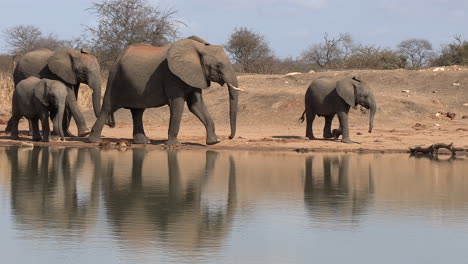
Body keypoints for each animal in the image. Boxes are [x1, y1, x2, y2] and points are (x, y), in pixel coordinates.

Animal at [88, 35, 241, 145]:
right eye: (218, 65)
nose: (229, 137)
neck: (199, 48)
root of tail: (118, 56)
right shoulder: (171, 75)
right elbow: (177, 105)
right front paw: (174, 145)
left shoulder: (195, 75)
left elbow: (197, 106)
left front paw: (214, 142)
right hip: (115, 78)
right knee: (108, 107)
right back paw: (94, 141)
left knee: (138, 111)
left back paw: (143, 142)